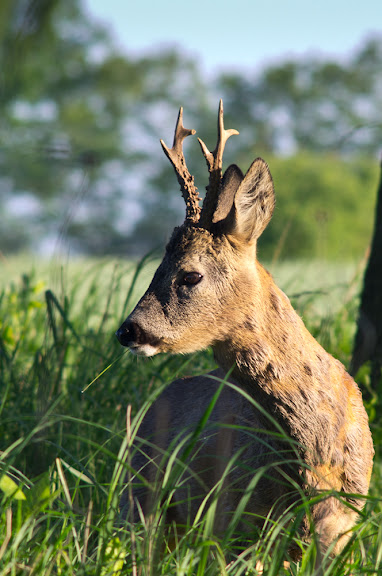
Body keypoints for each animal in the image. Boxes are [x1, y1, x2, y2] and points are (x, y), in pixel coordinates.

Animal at [116, 101, 374, 560]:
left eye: (190, 275)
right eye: (156, 267)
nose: (129, 331)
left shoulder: (344, 519)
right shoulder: (233, 512)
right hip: (140, 491)